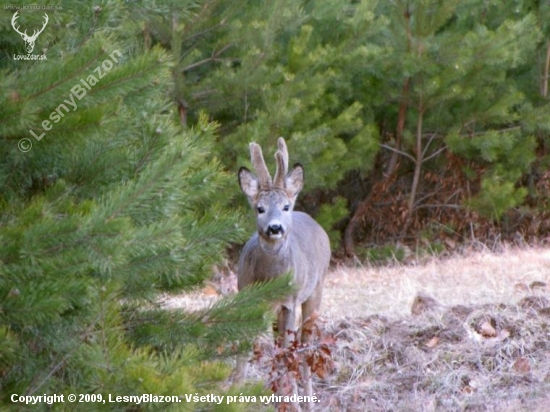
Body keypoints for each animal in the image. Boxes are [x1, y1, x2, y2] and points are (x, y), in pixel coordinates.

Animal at [234, 138, 330, 400]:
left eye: (285, 206)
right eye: (260, 208)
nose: (275, 228)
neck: (271, 279)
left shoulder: (290, 302)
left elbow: (287, 352)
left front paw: (290, 395)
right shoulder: (247, 298)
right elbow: (243, 355)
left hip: (316, 290)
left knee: (305, 346)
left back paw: (307, 398)